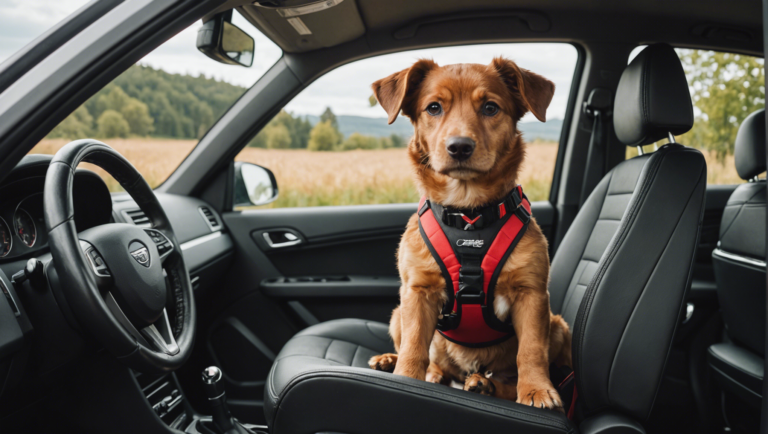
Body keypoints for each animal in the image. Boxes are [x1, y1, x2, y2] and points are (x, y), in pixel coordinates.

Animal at [368, 58, 572, 410]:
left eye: (490, 107)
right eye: (433, 107)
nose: (459, 147)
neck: (468, 216)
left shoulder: (531, 294)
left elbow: (531, 350)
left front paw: (536, 390)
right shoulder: (417, 292)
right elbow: (414, 347)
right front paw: (405, 379)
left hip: (557, 325)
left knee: (510, 378)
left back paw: (484, 385)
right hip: (398, 313)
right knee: (429, 361)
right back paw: (394, 362)